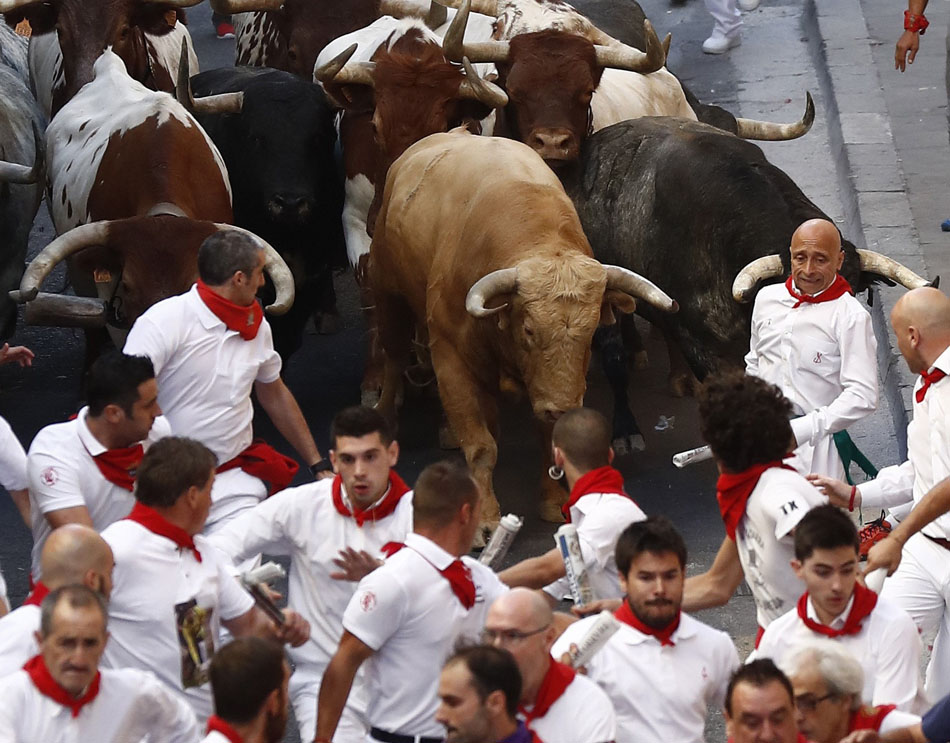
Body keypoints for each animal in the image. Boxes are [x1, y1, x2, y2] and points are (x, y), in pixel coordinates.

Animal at [372, 132, 676, 528]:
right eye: (529, 329)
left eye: (591, 329)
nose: (564, 407)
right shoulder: (450, 357)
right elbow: (481, 446)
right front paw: (486, 518)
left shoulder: (551, 387)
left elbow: (546, 435)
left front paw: (552, 501)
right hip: (388, 295)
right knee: (393, 356)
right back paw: (384, 414)